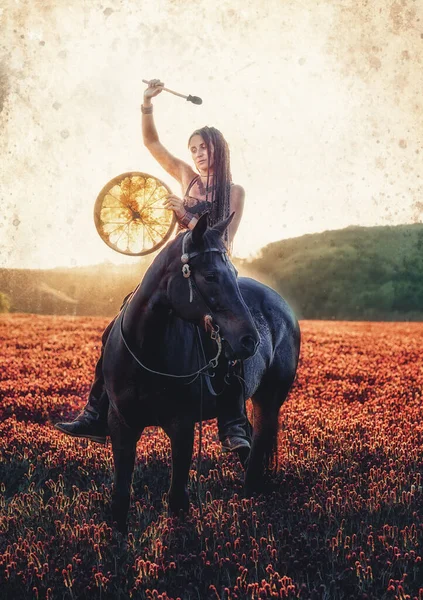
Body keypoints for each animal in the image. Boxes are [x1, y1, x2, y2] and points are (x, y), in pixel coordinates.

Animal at [102, 213, 302, 532]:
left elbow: (177, 498)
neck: (146, 351)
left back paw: (252, 494)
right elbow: (120, 496)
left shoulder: (181, 426)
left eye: (233, 273)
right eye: (210, 276)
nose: (251, 340)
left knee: (259, 443)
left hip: (269, 398)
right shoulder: (121, 423)